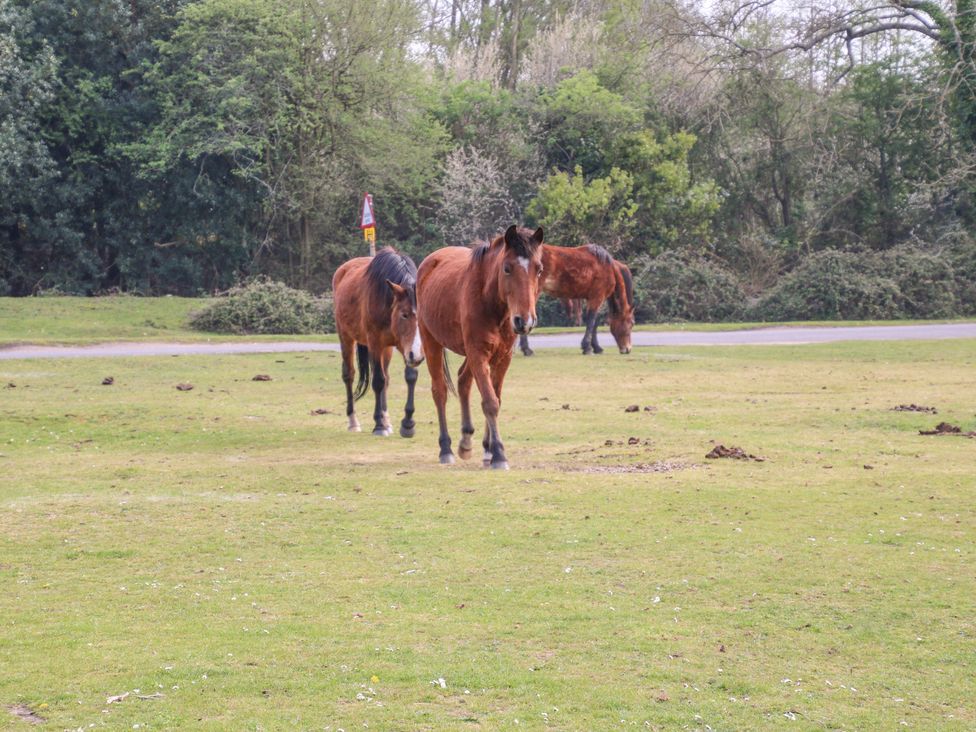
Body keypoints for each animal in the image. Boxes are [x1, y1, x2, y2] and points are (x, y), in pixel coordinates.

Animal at [332, 249, 424, 438]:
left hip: (386, 348)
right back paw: (353, 421)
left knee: (386, 377)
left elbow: (409, 377)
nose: (418, 356)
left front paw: (407, 424)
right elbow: (378, 381)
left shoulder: (404, 347)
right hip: (346, 337)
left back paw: (386, 419)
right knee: (349, 375)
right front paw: (379, 426)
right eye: (404, 314)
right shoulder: (375, 343)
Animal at [418, 226, 544, 472]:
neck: (490, 301)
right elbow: (490, 402)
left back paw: (466, 441)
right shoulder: (478, 354)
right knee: (440, 391)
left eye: (539, 269)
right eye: (507, 268)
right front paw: (499, 455)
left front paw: (488, 450)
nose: (524, 321)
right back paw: (446, 449)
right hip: (431, 343)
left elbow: (496, 398)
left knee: (462, 380)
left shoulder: (502, 357)